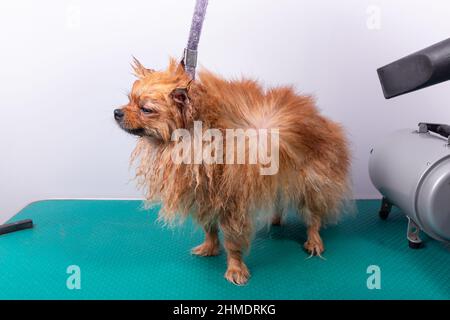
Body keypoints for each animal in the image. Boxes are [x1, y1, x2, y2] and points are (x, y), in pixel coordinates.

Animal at [113, 57, 352, 284]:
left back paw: (314, 240)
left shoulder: (233, 203)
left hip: (309, 183)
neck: (196, 138)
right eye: (129, 100)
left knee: (313, 216)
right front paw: (209, 248)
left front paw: (235, 269)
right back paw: (276, 219)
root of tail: (320, 119)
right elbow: (209, 228)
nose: (117, 112)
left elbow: (232, 240)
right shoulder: (206, 196)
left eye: (146, 109)